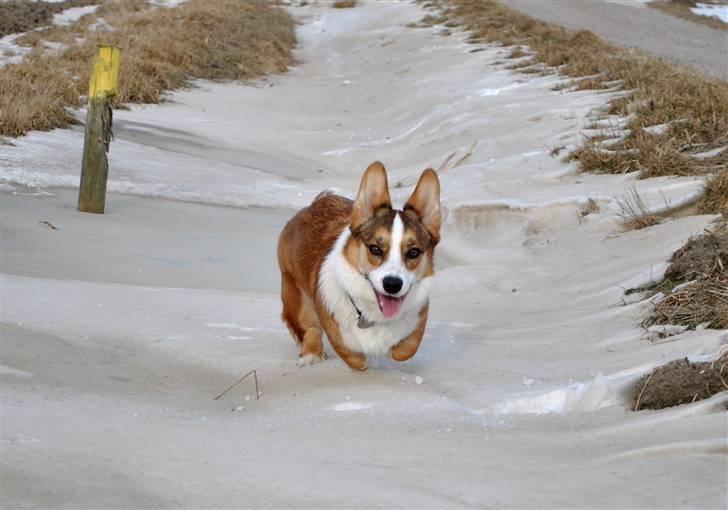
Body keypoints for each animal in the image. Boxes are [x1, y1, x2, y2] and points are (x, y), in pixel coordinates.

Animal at [278, 161, 438, 368]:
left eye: (413, 252)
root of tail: (315, 203)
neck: (371, 314)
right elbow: (353, 355)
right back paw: (311, 354)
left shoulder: (419, 316)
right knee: (309, 327)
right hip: (296, 296)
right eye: (375, 249)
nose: (392, 285)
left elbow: (407, 348)